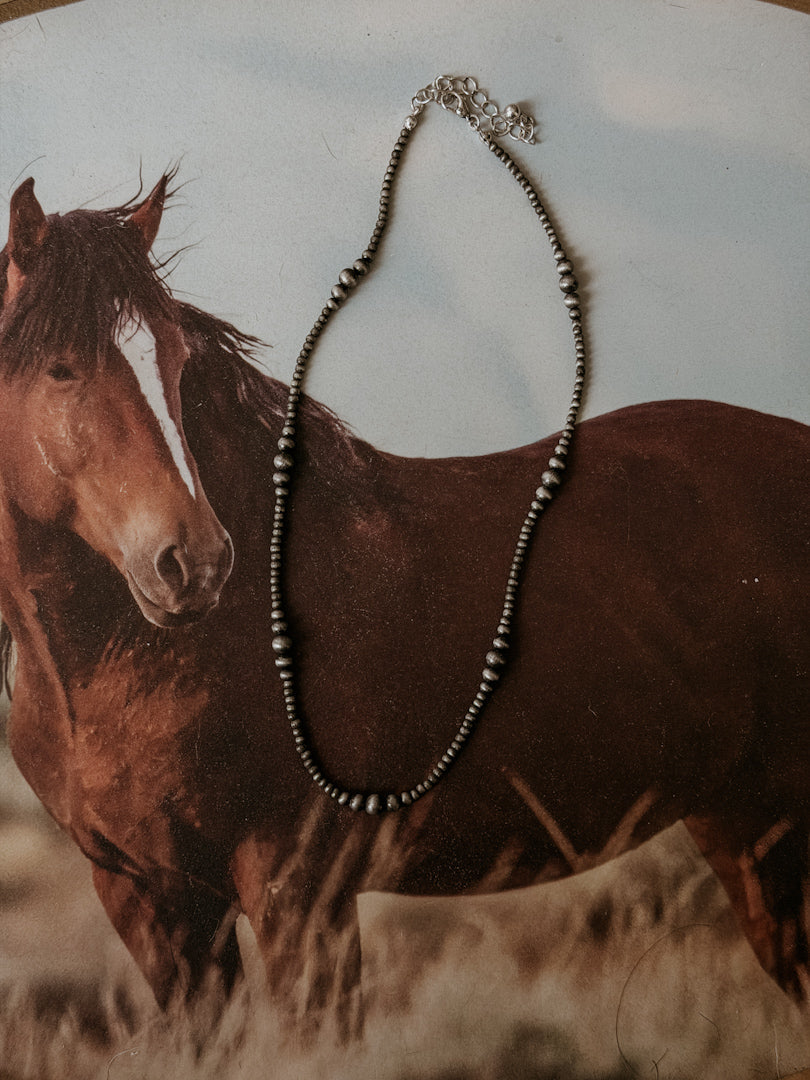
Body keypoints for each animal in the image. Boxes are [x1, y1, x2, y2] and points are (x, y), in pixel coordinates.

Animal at [1, 174, 808, 1041]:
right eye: (61, 369)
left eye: (177, 363)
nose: (196, 562)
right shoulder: (155, 903)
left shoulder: (299, 893)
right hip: (744, 825)